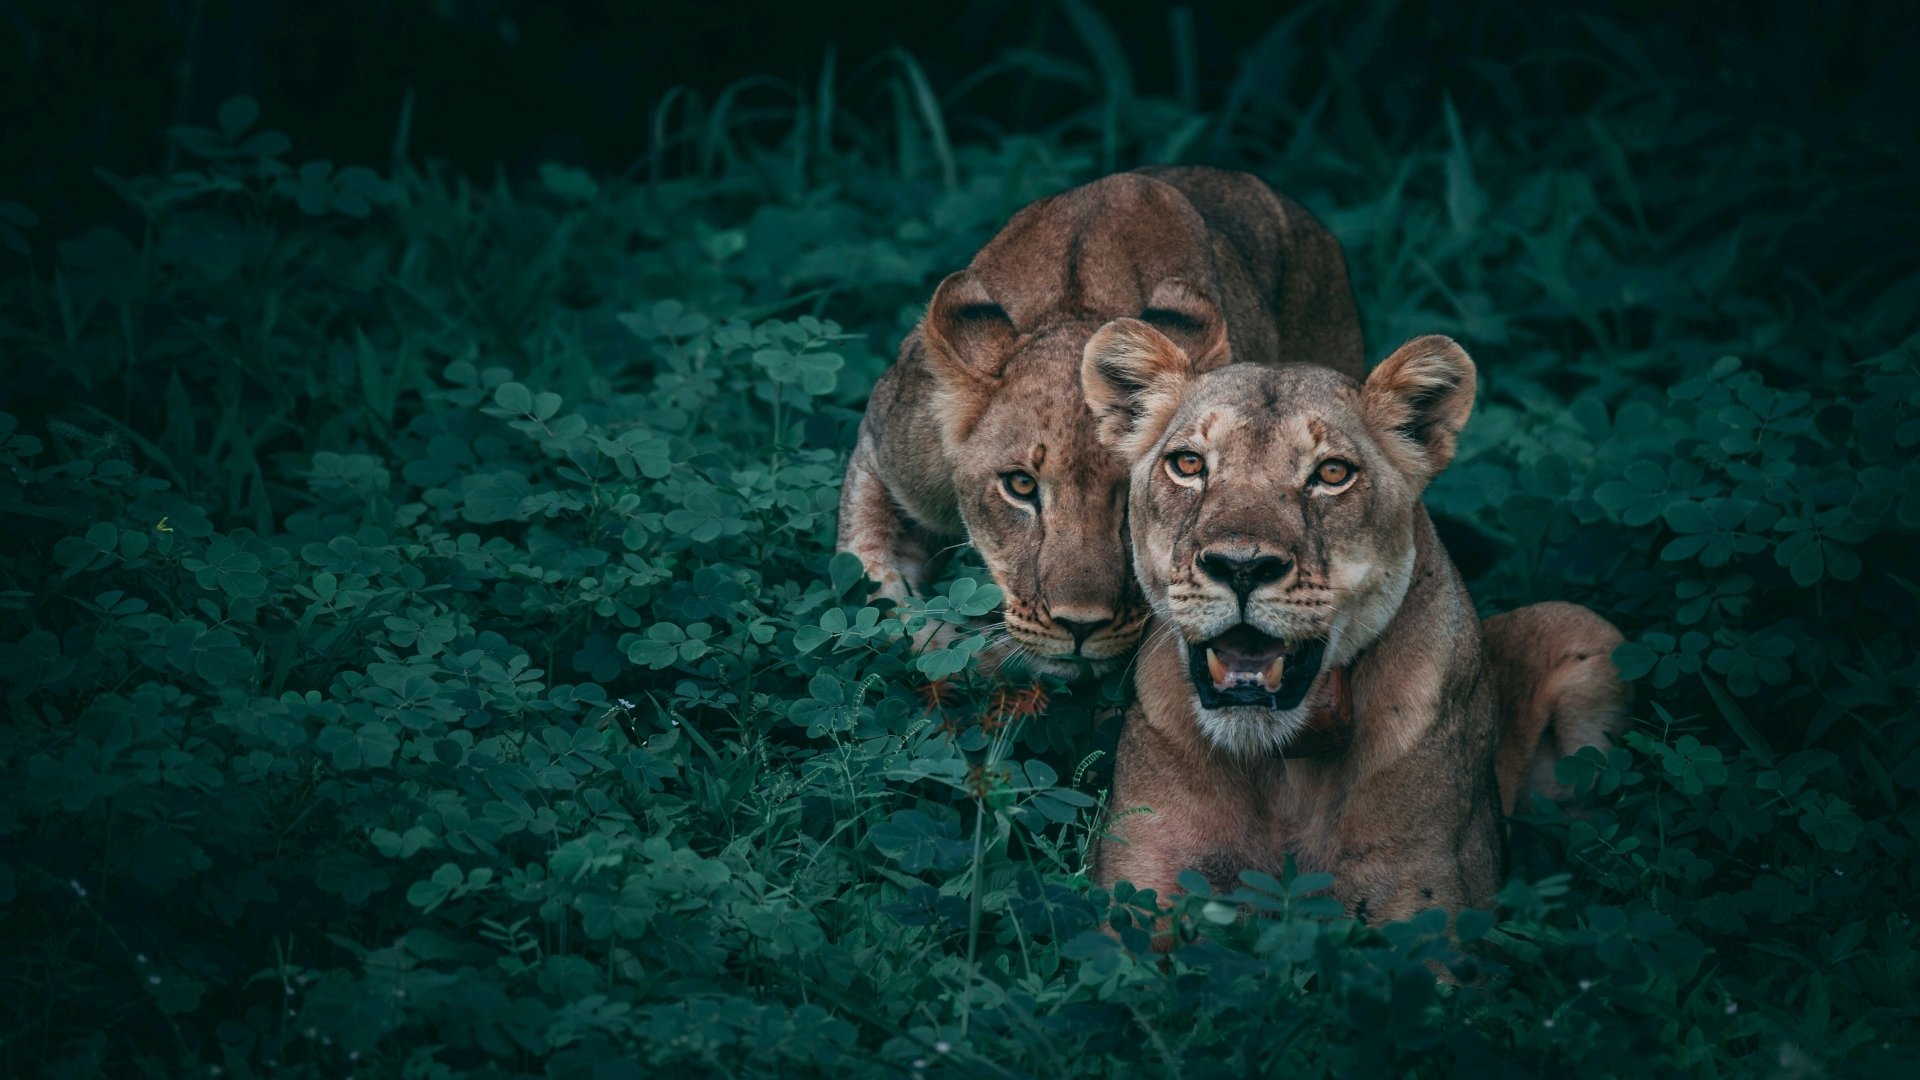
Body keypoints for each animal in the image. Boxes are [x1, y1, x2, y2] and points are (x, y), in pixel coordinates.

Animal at [1079, 320, 1629, 936]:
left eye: (1332, 474)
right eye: (1189, 464)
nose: (1241, 567)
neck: (1282, 771)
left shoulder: (1431, 916)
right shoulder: (1135, 890)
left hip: (1585, 628)